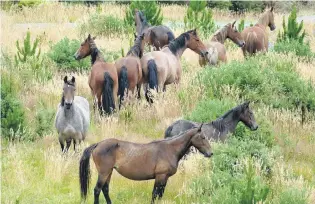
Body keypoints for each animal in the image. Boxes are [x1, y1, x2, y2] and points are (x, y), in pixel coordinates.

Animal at [79, 124, 212, 204]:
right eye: (203, 137)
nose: (210, 153)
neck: (169, 149)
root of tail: (98, 144)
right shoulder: (160, 176)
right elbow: (155, 194)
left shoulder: (164, 178)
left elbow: (160, 195)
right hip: (104, 172)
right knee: (97, 190)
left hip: (109, 172)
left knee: (105, 189)